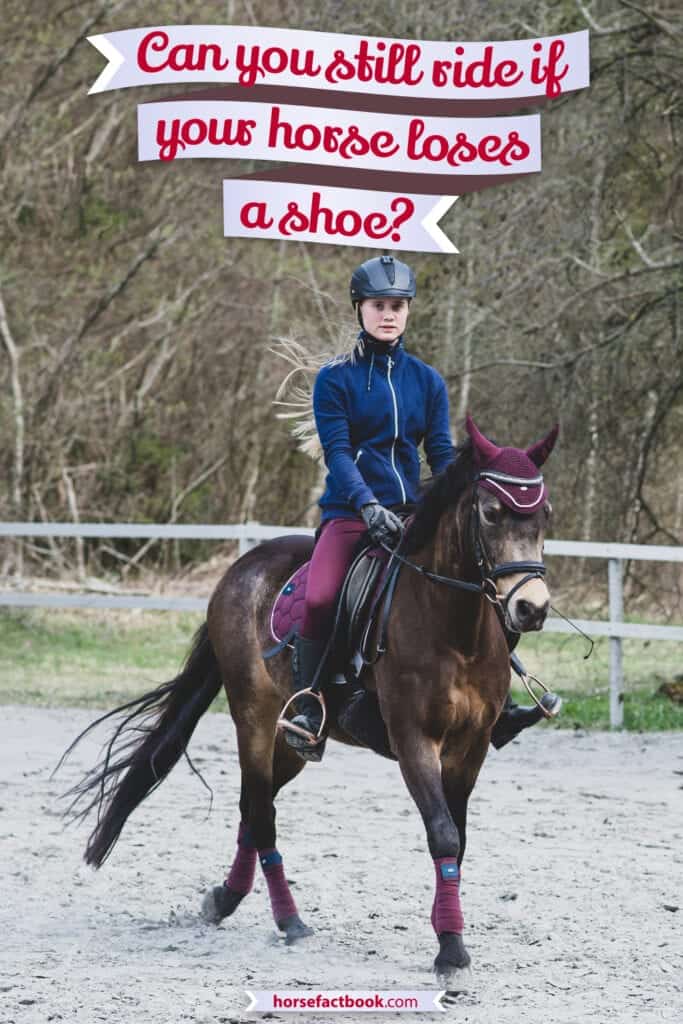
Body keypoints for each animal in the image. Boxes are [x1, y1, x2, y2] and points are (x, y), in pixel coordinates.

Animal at [62, 415, 558, 980]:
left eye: (544, 514)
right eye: (492, 513)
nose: (531, 608)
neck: (455, 629)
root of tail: (241, 568)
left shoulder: (470, 746)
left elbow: (458, 835)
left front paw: (445, 928)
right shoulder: (413, 739)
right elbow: (443, 833)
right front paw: (451, 949)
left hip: (293, 742)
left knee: (252, 807)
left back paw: (226, 899)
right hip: (253, 717)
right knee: (261, 812)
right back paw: (288, 919)